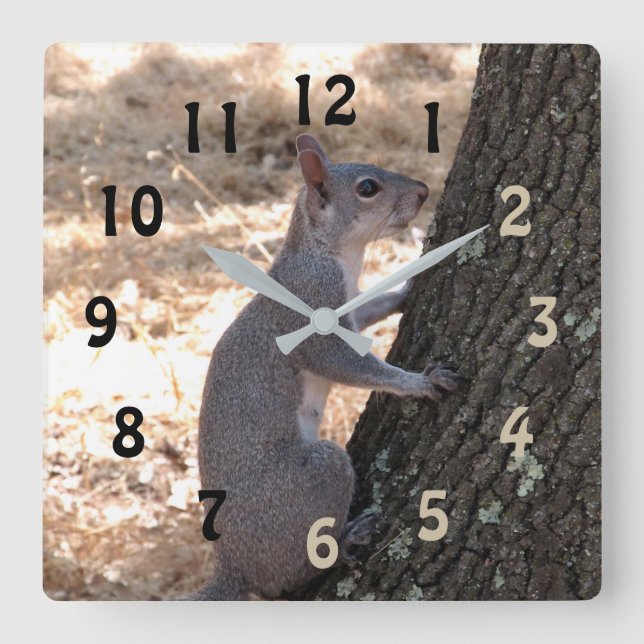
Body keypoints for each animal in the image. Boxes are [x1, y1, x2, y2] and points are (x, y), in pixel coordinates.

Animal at [190, 134, 461, 600]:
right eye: (367, 188)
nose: (424, 191)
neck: (327, 254)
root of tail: (234, 567)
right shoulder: (313, 312)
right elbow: (344, 363)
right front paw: (418, 383)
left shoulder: (349, 305)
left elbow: (372, 310)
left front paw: (404, 291)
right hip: (311, 482)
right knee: (296, 571)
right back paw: (345, 540)